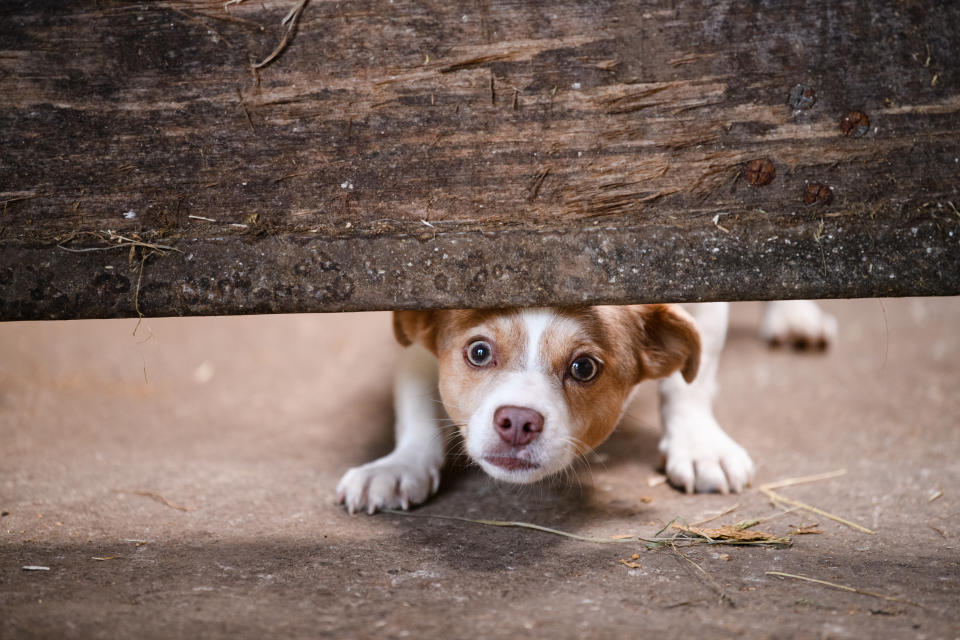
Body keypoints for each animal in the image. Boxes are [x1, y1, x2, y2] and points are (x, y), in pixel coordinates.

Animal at [338, 300, 832, 516]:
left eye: (583, 367)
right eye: (478, 352)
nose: (518, 422)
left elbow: (693, 377)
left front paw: (698, 446)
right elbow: (415, 396)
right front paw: (399, 466)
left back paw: (795, 314)